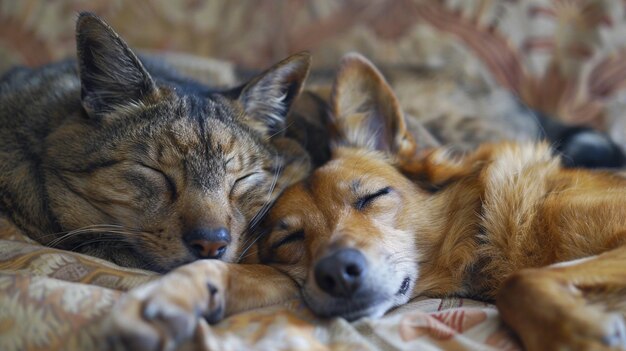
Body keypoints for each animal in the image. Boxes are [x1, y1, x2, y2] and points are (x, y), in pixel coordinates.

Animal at [111, 53, 624, 350]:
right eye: (288, 239)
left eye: (373, 197)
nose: (338, 273)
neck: (488, 236)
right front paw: (176, 293)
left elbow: (521, 281)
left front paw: (579, 333)